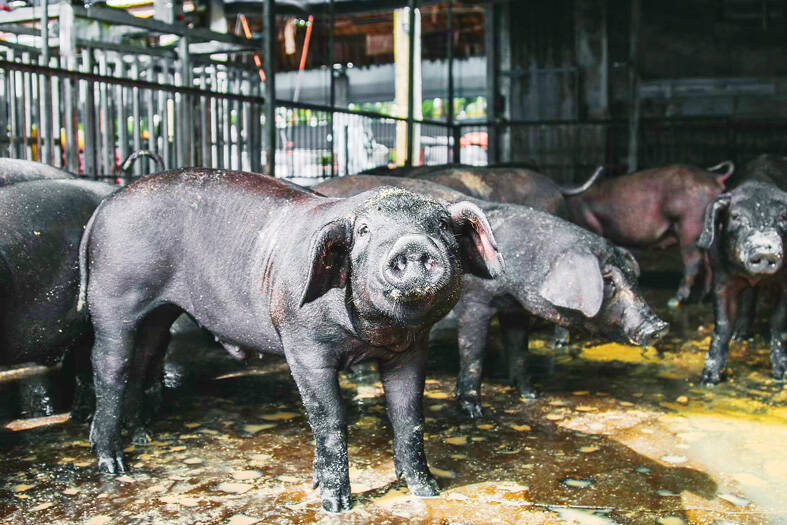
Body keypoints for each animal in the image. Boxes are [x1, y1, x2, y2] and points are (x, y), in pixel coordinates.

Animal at [78, 169, 498, 512]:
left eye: (441, 225)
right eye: (364, 231)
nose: (411, 245)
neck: (372, 336)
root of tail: (104, 206)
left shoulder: (411, 349)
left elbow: (409, 416)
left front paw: (428, 490)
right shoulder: (303, 345)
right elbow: (329, 417)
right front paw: (334, 504)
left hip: (157, 314)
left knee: (144, 358)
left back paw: (143, 437)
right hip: (114, 296)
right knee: (109, 366)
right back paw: (114, 463)